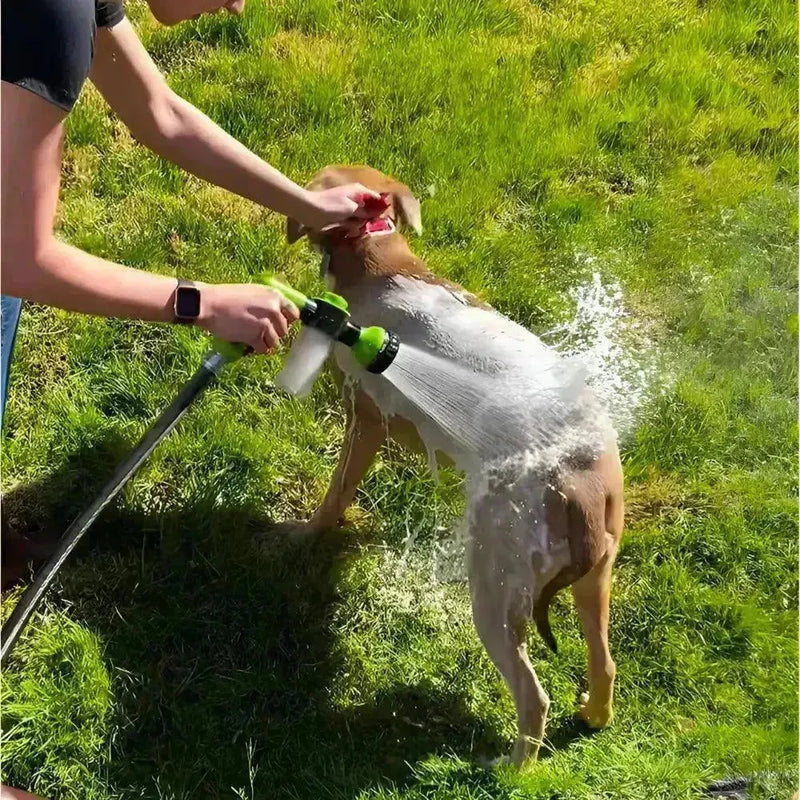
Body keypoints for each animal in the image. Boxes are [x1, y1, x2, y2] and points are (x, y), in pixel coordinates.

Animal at [282, 166, 624, 764]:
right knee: (603, 663)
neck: (381, 261)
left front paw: (305, 533)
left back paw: (511, 768)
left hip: (495, 591)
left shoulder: (365, 421)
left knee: (533, 695)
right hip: (594, 578)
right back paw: (592, 716)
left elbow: (336, 494)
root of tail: (580, 488)